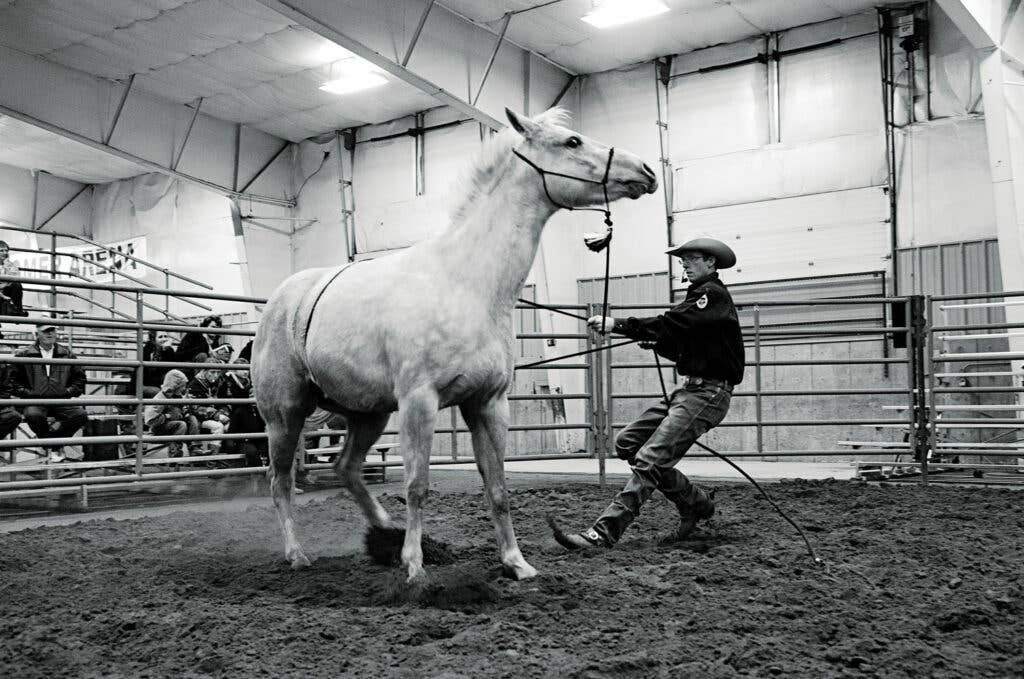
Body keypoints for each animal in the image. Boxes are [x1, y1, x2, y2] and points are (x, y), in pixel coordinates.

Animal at [251, 107, 659, 585]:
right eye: (571, 141)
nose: (646, 171)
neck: (467, 284)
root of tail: (279, 301)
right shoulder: (420, 404)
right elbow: (417, 485)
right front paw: (414, 567)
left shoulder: (487, 404)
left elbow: (497, 488)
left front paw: (516, 563)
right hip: (285, 417)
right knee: (280, 481)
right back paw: (299, 554)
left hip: (368, 414)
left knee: (346, 469)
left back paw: (384, 532)